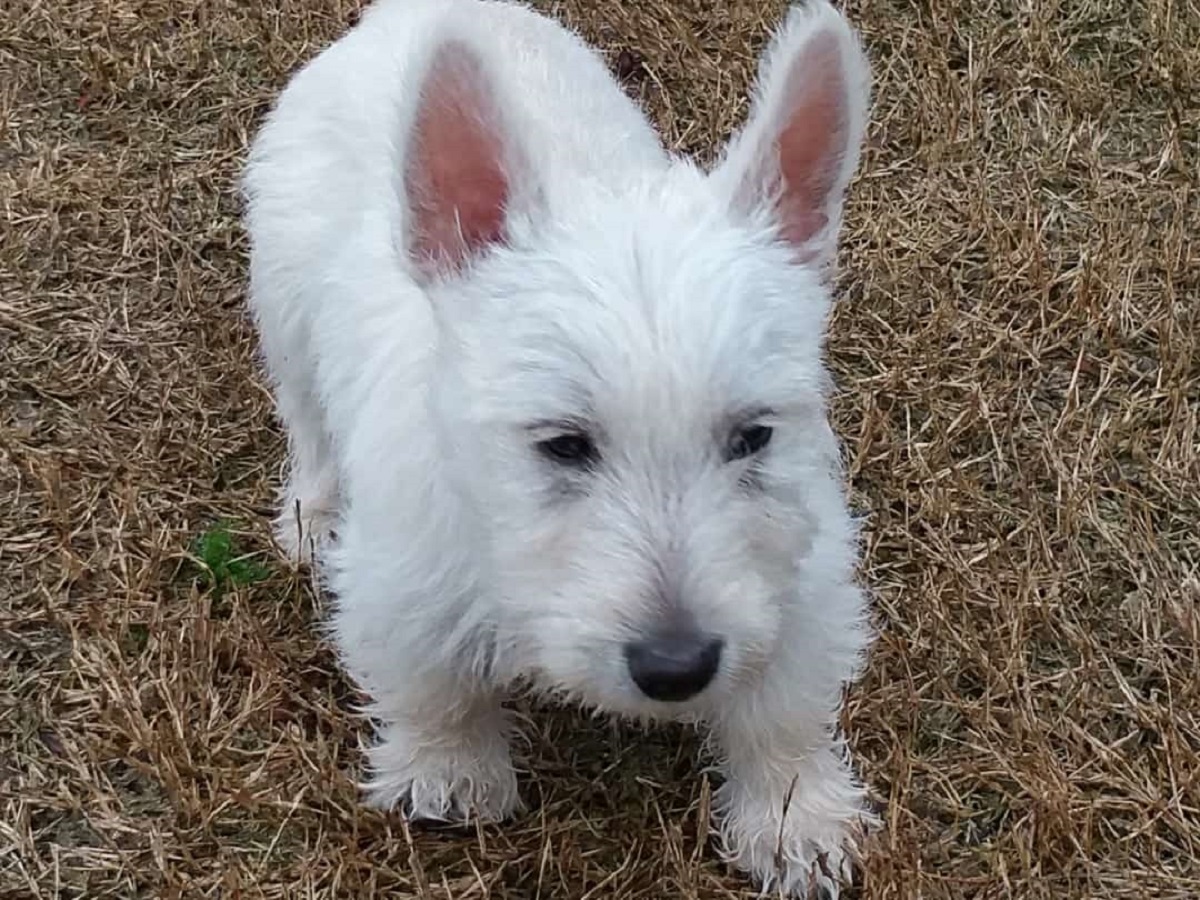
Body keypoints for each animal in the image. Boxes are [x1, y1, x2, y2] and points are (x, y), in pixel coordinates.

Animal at [243, 0, 878, 897]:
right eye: (563, 444)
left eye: (753, 435)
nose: (676, 667)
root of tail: (412, 12)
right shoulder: (402, 575)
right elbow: (430, 683)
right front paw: (451, 773)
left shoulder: (802, 575)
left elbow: (784, 706)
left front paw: (795, 820)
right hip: (282, 301)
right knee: (305, 416)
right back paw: (315, 511)